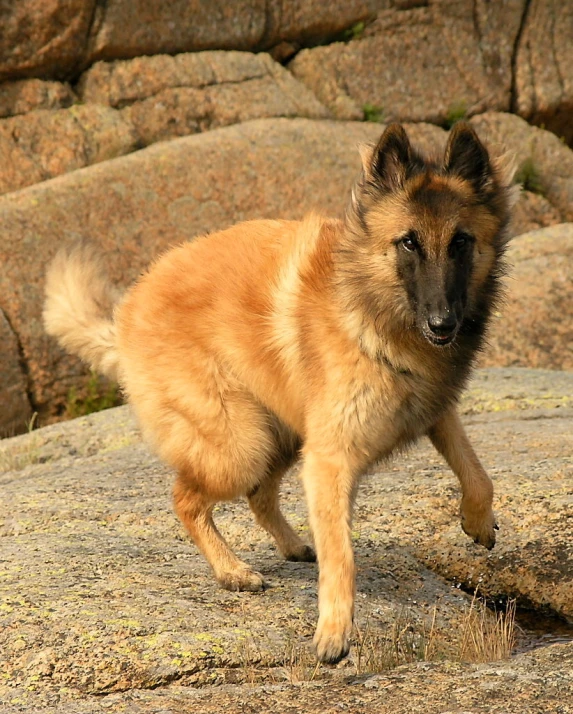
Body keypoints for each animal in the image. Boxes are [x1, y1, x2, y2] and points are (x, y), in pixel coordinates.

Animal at [44, 122, 516, 660]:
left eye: (461, 242)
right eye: (409, 243)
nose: (442, 324)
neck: (370, 306)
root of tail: (125, 312)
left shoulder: (434, 410)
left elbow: (478, 474)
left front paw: (479, 523)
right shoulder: (330, 458)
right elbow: (342, 553)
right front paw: (334, 631)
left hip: (280, 435)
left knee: (258, 495)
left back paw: (291, 546)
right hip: (241, 443)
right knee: (188, 498)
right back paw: (233, 571)